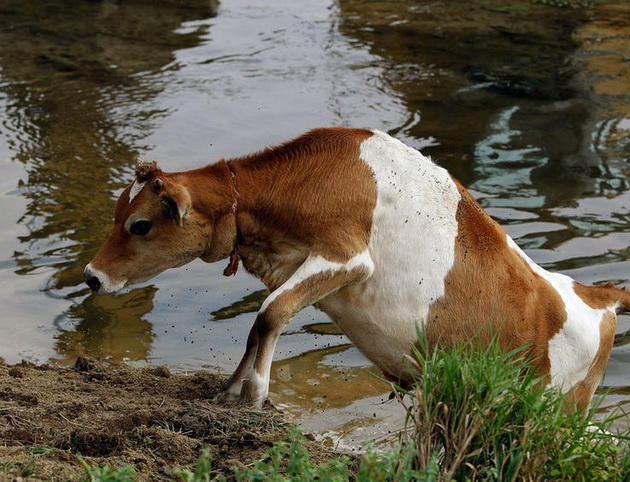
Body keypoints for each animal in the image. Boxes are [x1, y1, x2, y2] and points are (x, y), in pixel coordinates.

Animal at [85, 126, 630, 408]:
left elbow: (271, 312)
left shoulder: (346, 256)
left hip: (557, 407)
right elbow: (262, 320)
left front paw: (255, 392)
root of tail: (597, 293)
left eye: (139, 225)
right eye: (116, 214)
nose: (92, 275)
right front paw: (232, 388)